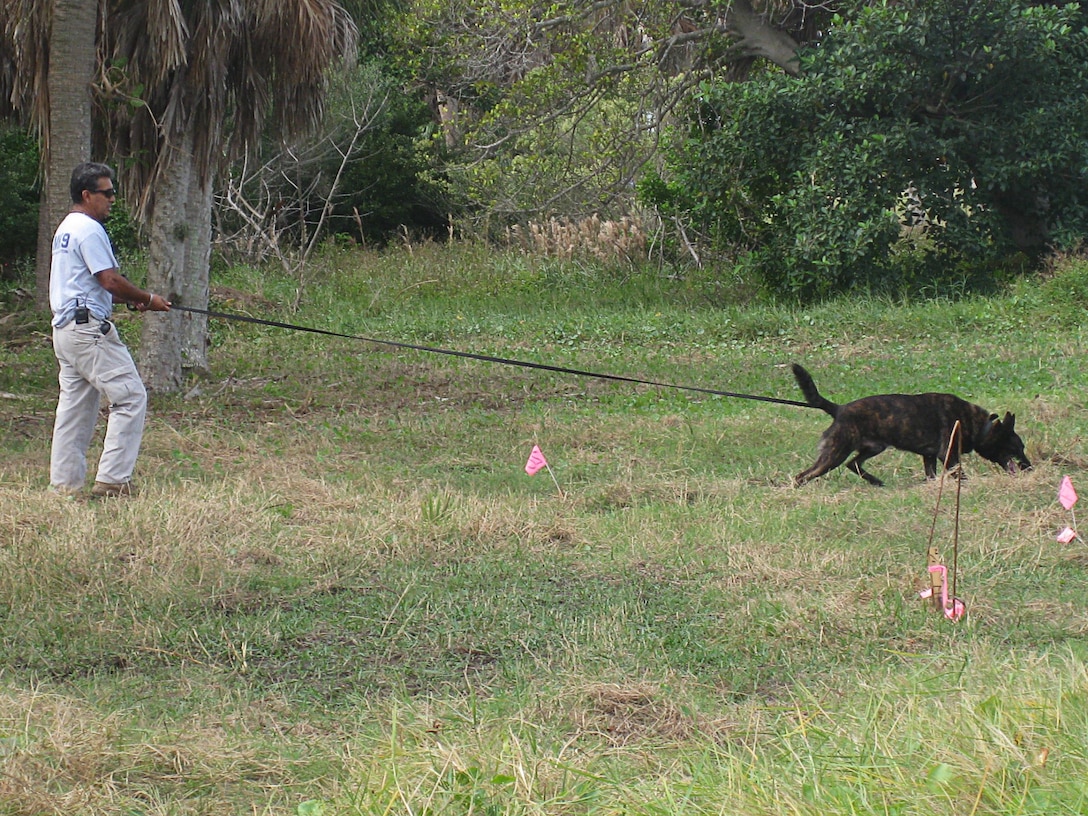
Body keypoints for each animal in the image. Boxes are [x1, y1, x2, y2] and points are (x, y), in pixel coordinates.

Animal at [792, 363, 1027, 485]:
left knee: (853, 464)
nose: (1029, 467)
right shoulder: (947, 455)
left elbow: (931, 476)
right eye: (1017, 447)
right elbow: (961, 474)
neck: (980, 427)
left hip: (872, 448)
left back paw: (876, 482)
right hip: (834, 454)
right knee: (802, 476)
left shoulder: (929, 457)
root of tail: (839, 409)